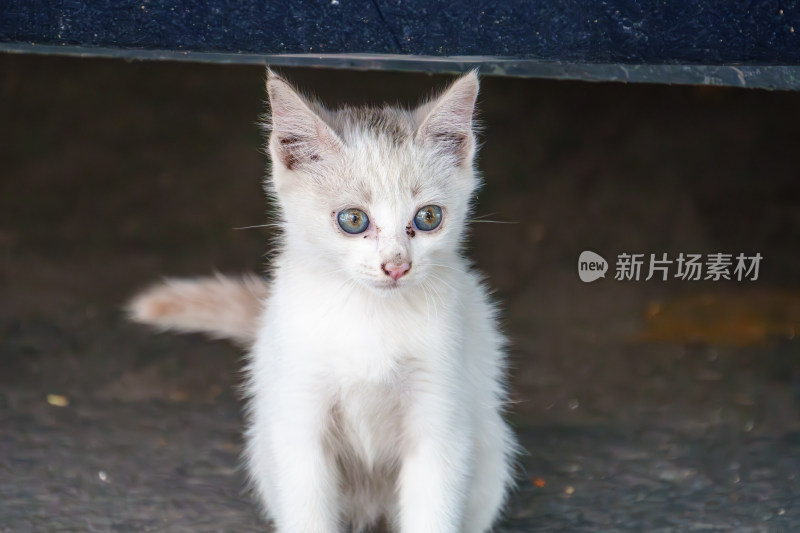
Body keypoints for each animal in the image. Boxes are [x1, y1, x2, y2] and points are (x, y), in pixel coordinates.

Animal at [130, 70, 520, 532]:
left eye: (428, 218)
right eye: (353, 220)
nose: (396, 266)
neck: (369, 314)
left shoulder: (440, 418)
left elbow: (433, 510)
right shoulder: (299, 414)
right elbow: (307, 508)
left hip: (489, 455)